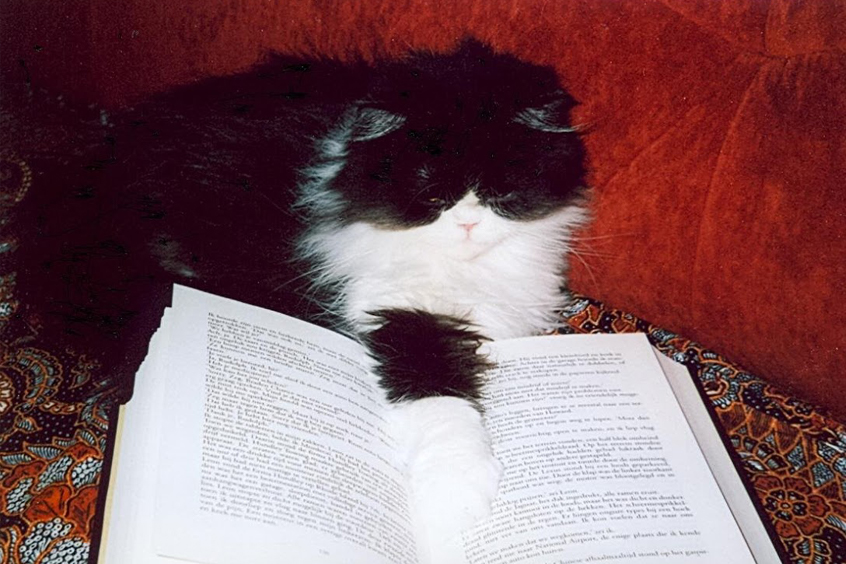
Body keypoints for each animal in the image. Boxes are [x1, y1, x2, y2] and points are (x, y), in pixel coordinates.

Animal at [7, 39, 587, 562]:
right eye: (430, 194)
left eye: (499, 191)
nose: (467, 223)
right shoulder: (396, 309)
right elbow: (439, 399)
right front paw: (456, 498)